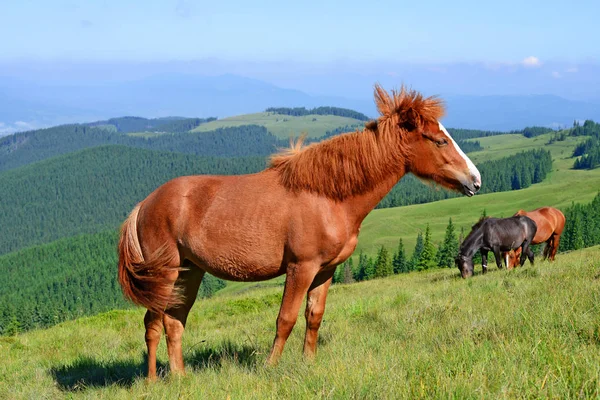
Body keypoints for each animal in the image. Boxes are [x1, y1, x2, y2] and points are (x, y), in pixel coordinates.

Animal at [117, 83, 482, 378]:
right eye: (440, 140)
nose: (475, 180)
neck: (326, 195)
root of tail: (144, 205)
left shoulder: (325, 270)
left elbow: (313, 316)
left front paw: (309, 363)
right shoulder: (300, 268)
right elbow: (286, 318)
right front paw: (270, 367)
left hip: (188, 272)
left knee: (174, 321)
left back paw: (181, 378)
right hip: (164, 275)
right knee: (152, 324)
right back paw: (153, 382)